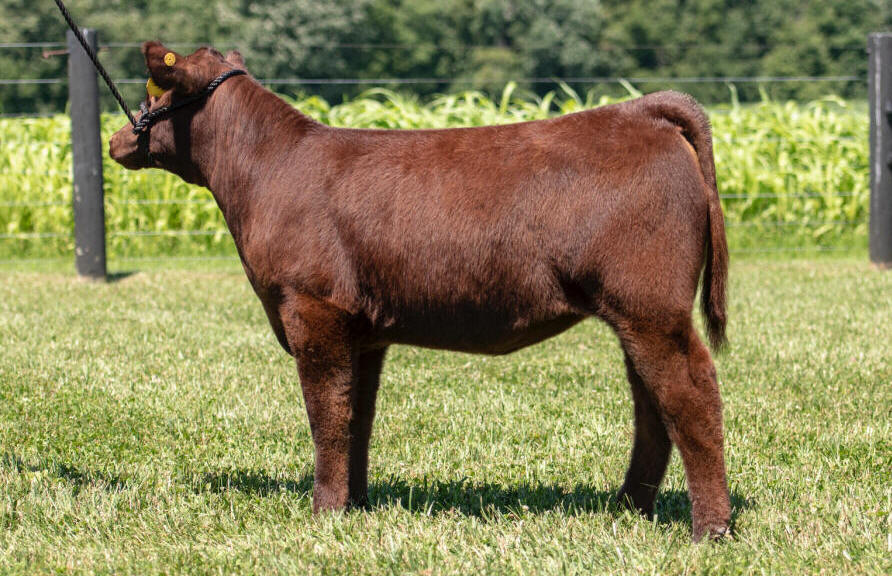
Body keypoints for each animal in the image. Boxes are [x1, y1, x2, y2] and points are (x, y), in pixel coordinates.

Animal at [109, 42, 731, 541]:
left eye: (155, 90)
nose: (116, 138)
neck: (266, 171)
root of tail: (640, 110)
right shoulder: (361, 330)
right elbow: (356, 415)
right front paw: (355, 504)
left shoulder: (312, 307)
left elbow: (327, 413)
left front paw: (323, 513)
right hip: (637, 312)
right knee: (652, 403)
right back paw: (626, 508)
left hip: (650, 304)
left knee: (690, 392)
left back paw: (709, 529)